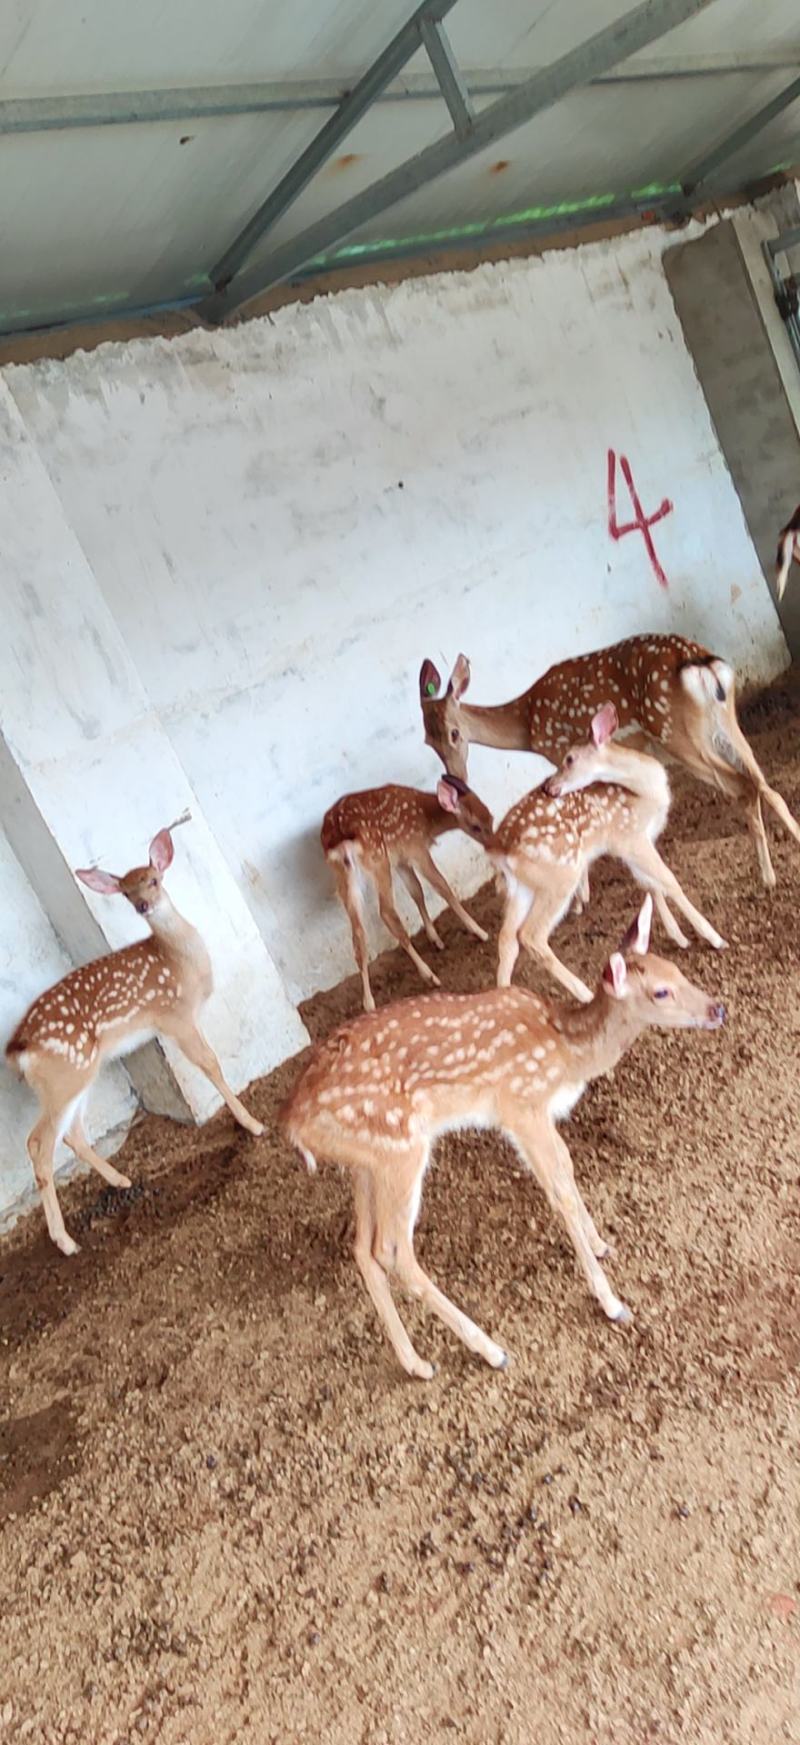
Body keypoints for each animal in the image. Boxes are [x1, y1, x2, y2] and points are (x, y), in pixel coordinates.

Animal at [5, 817, 263, 1257]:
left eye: (153, 880)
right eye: (127, 894)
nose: (144, 905)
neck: (179, 960)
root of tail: (18, 1048)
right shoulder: (173, 1017)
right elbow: (210, 1063)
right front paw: (253, 1124)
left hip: (79, 1075)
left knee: (71, 1134)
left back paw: (122, 1181)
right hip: (66, 1073)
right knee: (38, 1143)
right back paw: (66, 1242)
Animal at [281, 893, 725, 1380]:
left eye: (676, 969)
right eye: (660, 992)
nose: (716, 1009)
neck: (568, 1053)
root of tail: (295, 1124)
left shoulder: (541, 1113)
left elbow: (567, 1169)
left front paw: (601, 1242)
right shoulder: (521, 1105)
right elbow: (558, 1192)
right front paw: (611, 1301)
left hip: (365, 1162)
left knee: (362, 1250)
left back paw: (417, 1363)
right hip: (400, 1146)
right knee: (392, 1250)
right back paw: (491, 1350)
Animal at [322, 776, 494, 1012]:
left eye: (491, 817)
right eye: (476, 826)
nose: (494, 844)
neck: (425, 820)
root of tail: (340, 836)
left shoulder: (402, 860)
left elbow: (417, 891)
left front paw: (436, 939)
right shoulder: (416, 849)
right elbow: (442, 887)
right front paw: (479, 932)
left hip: (345, 875)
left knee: (358, 933)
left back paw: (369, 1003)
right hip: (378, 859)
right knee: (386, 912)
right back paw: (429, 975)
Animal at [419, 632, 800, 891]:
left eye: (454, 734)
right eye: (426, 739)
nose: (455, 780)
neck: (528, 725)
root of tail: (702, 663)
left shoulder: (563, 752)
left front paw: (581, 896)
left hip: (676, 731)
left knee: (743, 785)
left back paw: (767, 875)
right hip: (725, 720)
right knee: (764, 783)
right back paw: (784, 858)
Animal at [489, 700, 727, 1001]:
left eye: (569, 759)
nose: (548, 787)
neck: (647, 793)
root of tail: (499, 849)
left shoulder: (637, 843)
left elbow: (651, 886)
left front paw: (678, 937)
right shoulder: (629, 836)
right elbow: (670, 881)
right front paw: (714, 937)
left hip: (522, 886)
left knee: (506, 938)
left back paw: (505, 998)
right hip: (559, 875)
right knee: (531, 935)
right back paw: (583, 992)